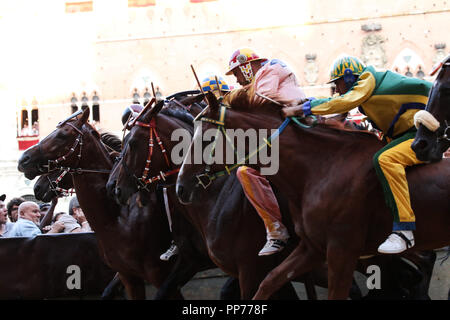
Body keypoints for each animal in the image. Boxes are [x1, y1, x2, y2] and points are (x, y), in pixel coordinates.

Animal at [176, 90, 450, 300]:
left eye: (206, 138)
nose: (180, 187)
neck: (320, 168)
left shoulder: (341, 250)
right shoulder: (312, 247)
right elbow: (268, 284)